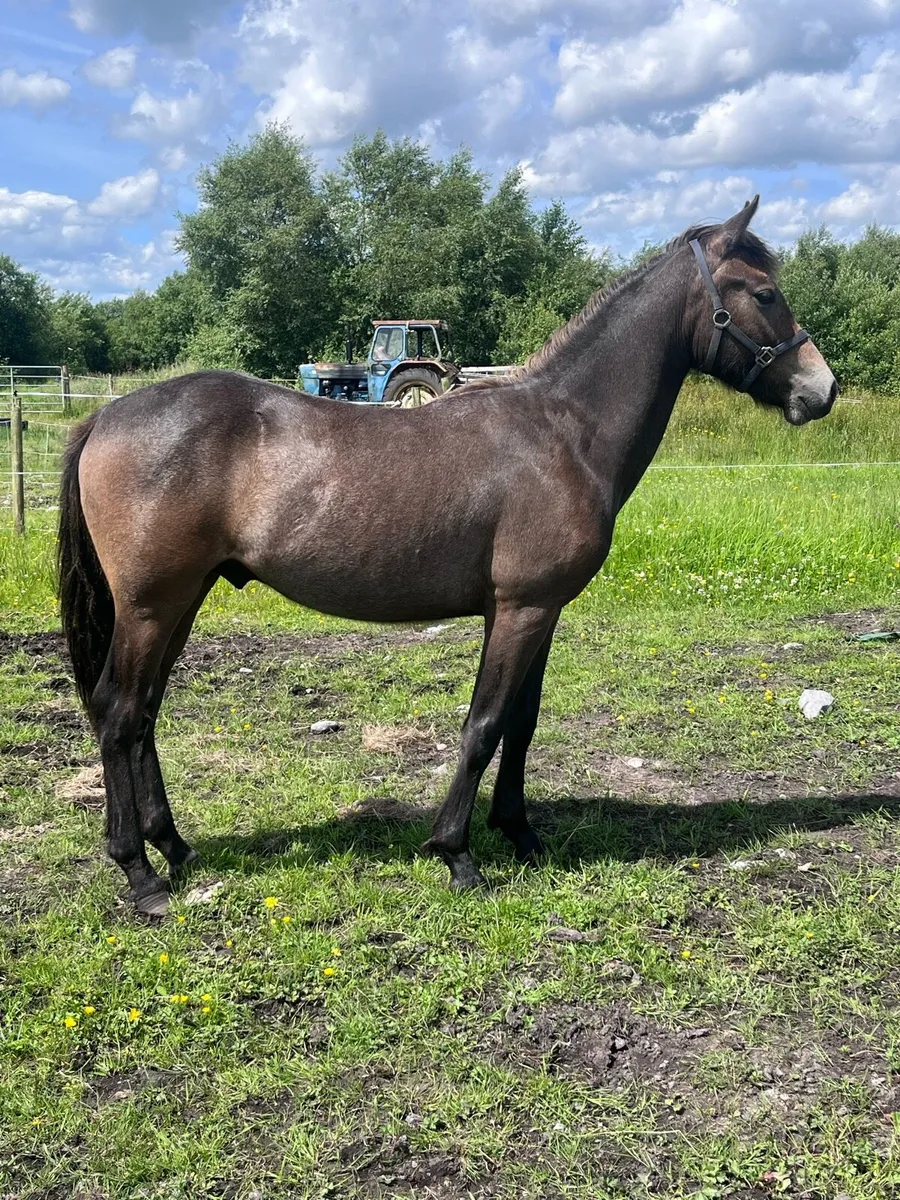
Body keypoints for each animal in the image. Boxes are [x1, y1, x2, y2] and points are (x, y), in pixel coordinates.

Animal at [58, 197, 837, 915]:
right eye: (763, 293)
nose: (822, 389)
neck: (564, 430)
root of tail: (107, 415)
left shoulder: (534, 611)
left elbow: (520, 723)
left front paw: (520, 834)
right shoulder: (523, 608)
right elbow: (484, 724)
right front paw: (457, 853)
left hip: (180, 602)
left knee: (143, 714)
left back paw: (173, 845)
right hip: (153, 605)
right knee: (119, 712)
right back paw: (140, 872)